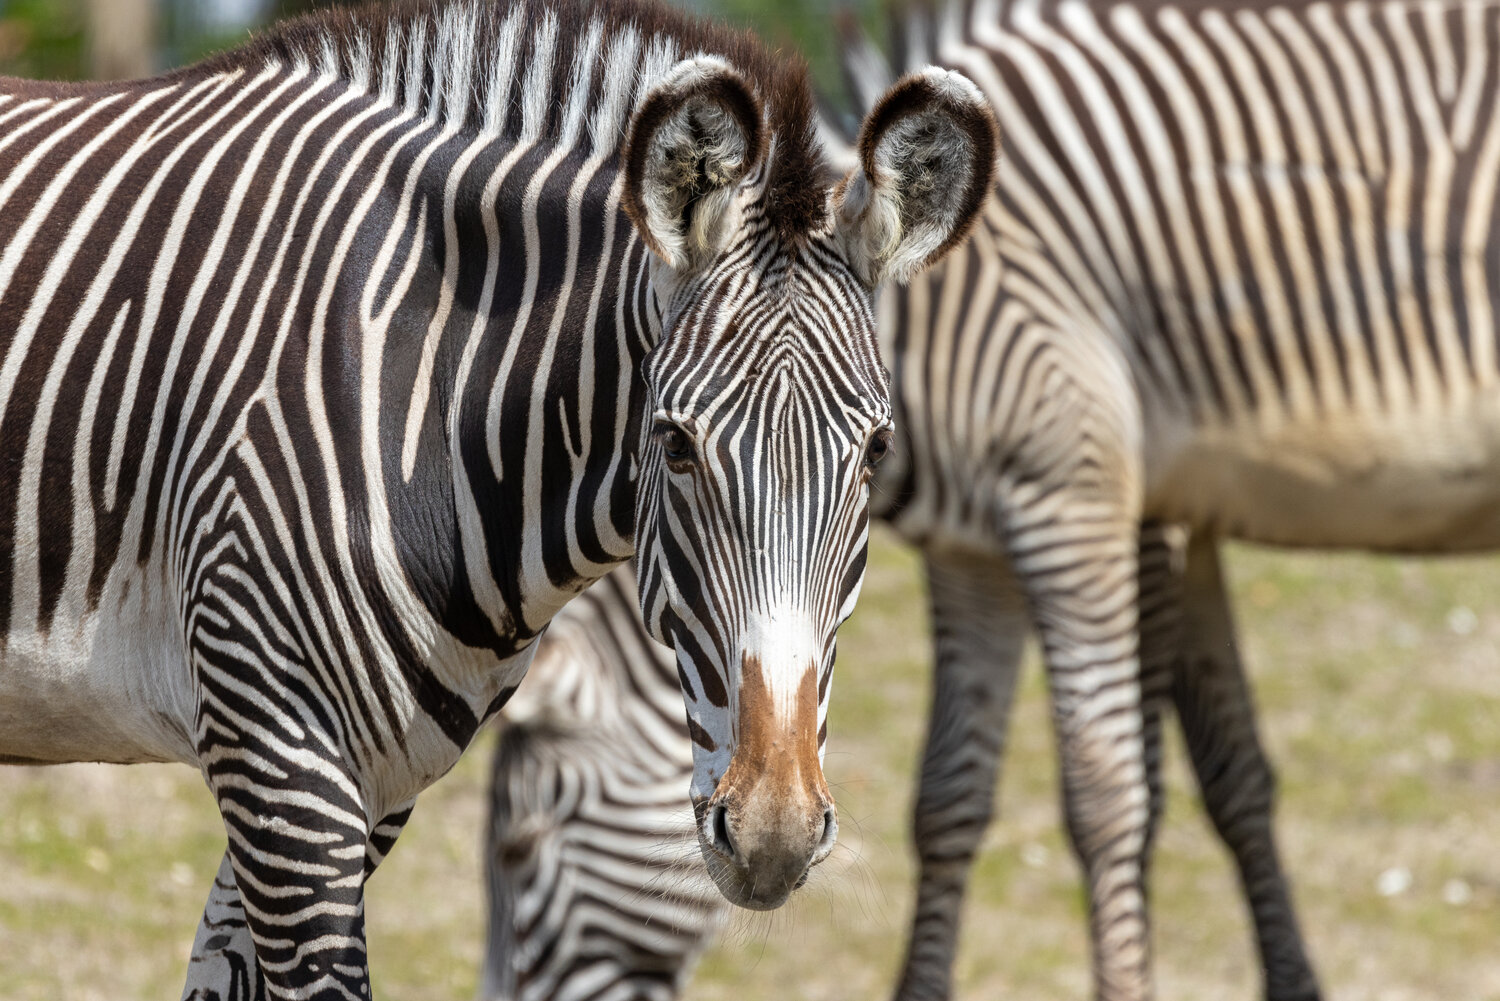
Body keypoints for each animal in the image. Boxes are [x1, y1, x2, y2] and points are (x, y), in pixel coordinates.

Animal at [0, 0, 998, 995]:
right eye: (674, 443)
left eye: (875, 452)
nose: (774, 835)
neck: (427, 379)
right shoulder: (276, 749)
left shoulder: (373, 779)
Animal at [480, 0, 1500, 999]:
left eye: (522, 848)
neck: (939, 314)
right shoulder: (992, 545)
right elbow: (971, 793)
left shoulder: (1084, 504)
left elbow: (1112, 793)